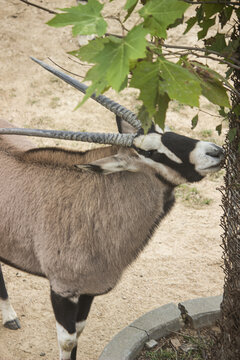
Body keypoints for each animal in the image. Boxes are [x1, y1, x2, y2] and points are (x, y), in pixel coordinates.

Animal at [0, 59, 223, 360]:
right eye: (150, 153)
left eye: (163, 130)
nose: (215, 152)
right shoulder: (63, 291)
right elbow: (67, 342)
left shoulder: (88, 291)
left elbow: (79, 334)